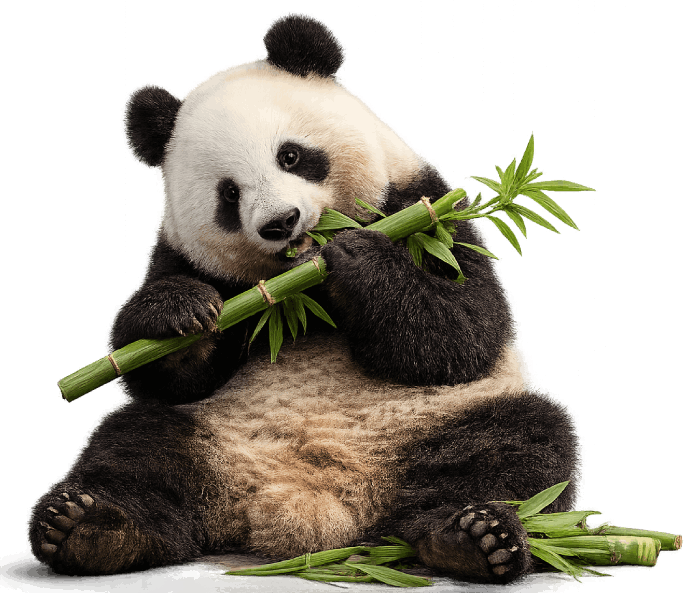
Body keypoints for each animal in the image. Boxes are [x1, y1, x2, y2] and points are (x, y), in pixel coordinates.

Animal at [28, 11, 584, 582]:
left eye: (291, 156)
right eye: (229, 193)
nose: (281, 222)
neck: (300, 288)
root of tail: (311, 513)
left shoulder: (428, 209)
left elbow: (463, 330)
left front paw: (356, 258)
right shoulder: (180, 255)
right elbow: (162, 371)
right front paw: (180, 314)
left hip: (441, 423)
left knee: (523, 448)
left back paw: (471, 537)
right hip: (208, 432)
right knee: (133, 448)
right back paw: (92, 529)